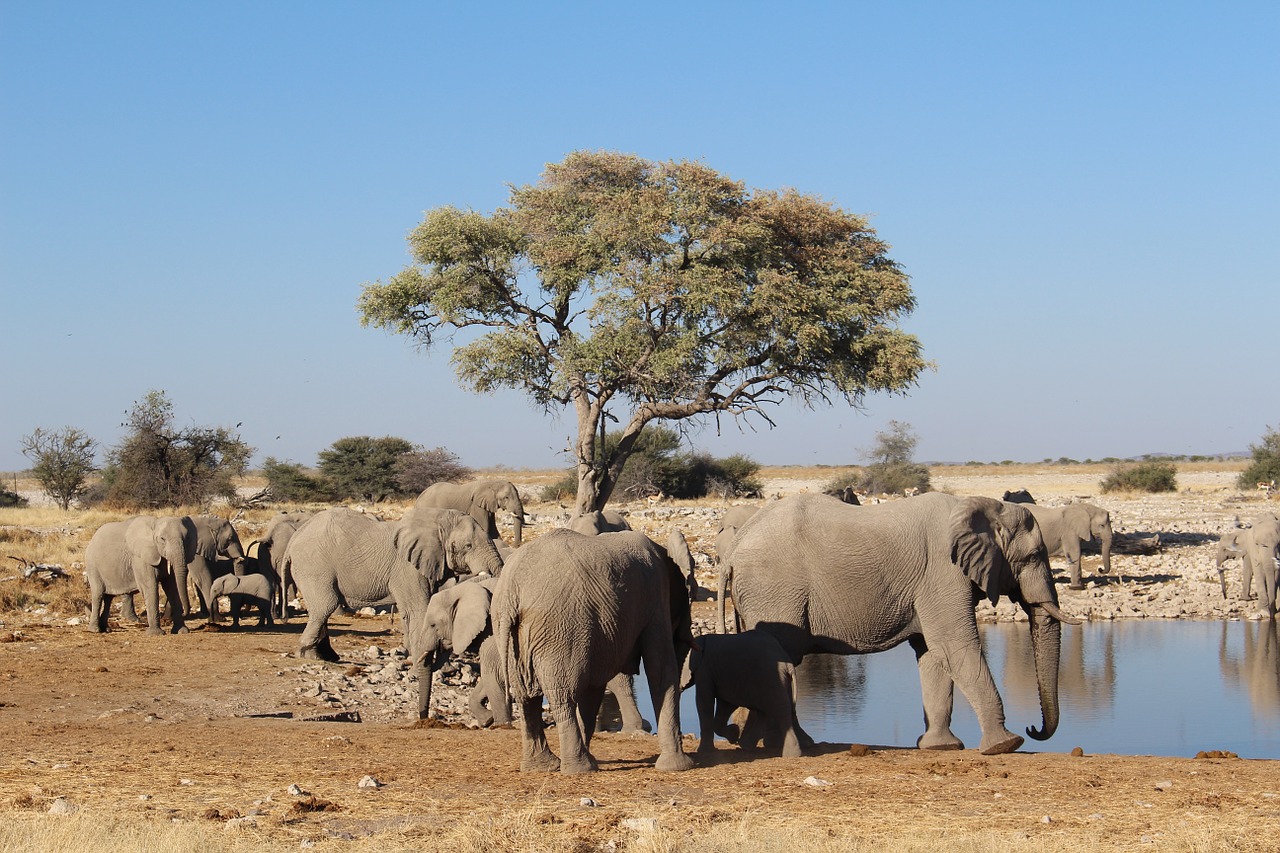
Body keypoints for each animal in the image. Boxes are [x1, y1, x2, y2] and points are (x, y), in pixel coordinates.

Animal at [285, 502, 504, 712]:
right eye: (468, 546)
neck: (436, 521)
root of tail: (294, 539)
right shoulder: (407, 568)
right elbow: (419, 611)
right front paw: (428, 671)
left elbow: (412, 614)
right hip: (314, 567)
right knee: (325, 606)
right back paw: (309, 654)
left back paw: (326, 656)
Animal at [488, 525, 696, 768]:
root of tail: (511, 591)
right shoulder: (655, 599)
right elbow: (661, 670)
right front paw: (679, 766)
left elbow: (594, 686)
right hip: (560, 628)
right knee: (563, 697)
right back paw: (579, 768)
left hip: (508, 631)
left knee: (526, 698)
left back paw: (543, 766)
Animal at [686, 625, 803, 758]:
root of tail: (788, 665)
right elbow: (726, 704)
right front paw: (733, 734)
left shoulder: (704, 668)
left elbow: (704, 701)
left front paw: (705, 751)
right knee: (766, 711)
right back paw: (745, 745)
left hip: (771, 677)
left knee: (780, 710)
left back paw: (791, 754)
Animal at [727, 489, 1075, 753]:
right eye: (1034, 557)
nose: (1033, 728)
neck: (980, 506)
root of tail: (735, 546)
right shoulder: (943, 573)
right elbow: (954, 647)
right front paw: (1006, 745)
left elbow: (932, 655)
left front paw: (940, 747)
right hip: (774, 591)